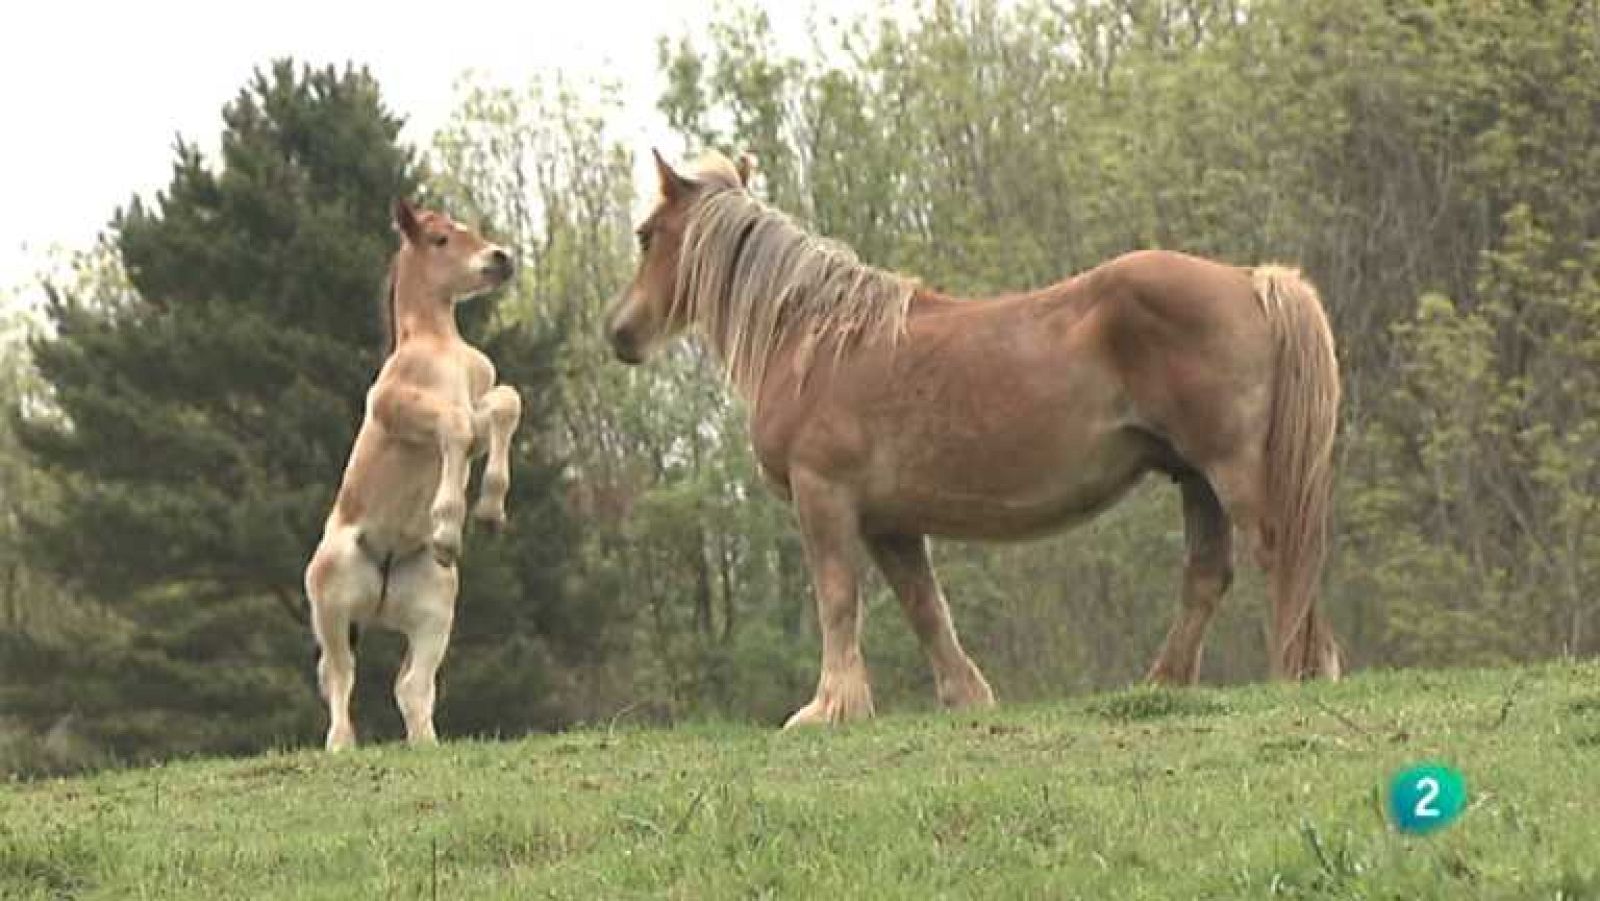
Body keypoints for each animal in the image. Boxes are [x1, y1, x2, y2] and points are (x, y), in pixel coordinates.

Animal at [304, 200, 522, 750]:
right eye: (441, 238)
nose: (501, 258)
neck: (439, 342)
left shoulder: (480, 410)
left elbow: (504, 405)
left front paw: (489, 511)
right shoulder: (403, 412)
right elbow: (455, 425)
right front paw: (447, 525)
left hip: (433, 617)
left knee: (411, 687)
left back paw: (426, 745)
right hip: (332, 608)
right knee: (343, 677)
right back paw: (341, 745)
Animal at [606, 149, 1341, 727]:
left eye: (646, 235)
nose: (619, 333)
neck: (817, 338)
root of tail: (1250, 280)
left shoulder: (825, 496)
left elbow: (837, 599)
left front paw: (829, 706)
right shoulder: (890, 522)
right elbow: (926, 607)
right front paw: (966, 697)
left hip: (1231, 469)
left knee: (1282, 552)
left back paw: (1299, 669)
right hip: (1195, 477)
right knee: (1208, 575)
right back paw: (1163, 683)